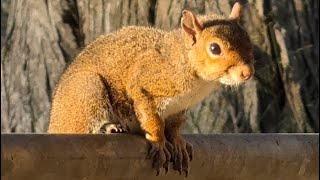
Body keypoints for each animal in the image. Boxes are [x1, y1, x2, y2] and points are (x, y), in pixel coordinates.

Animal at [47, 2, 255, 177]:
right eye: (214, 48)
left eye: (248, 41)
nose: (247, 72)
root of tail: (56, 119)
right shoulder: (145, 83)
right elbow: (152, 119)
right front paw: (159, 142)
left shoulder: (181, 107)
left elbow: (174, 126)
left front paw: (177, 142)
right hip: (87, 92)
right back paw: (108, 127)